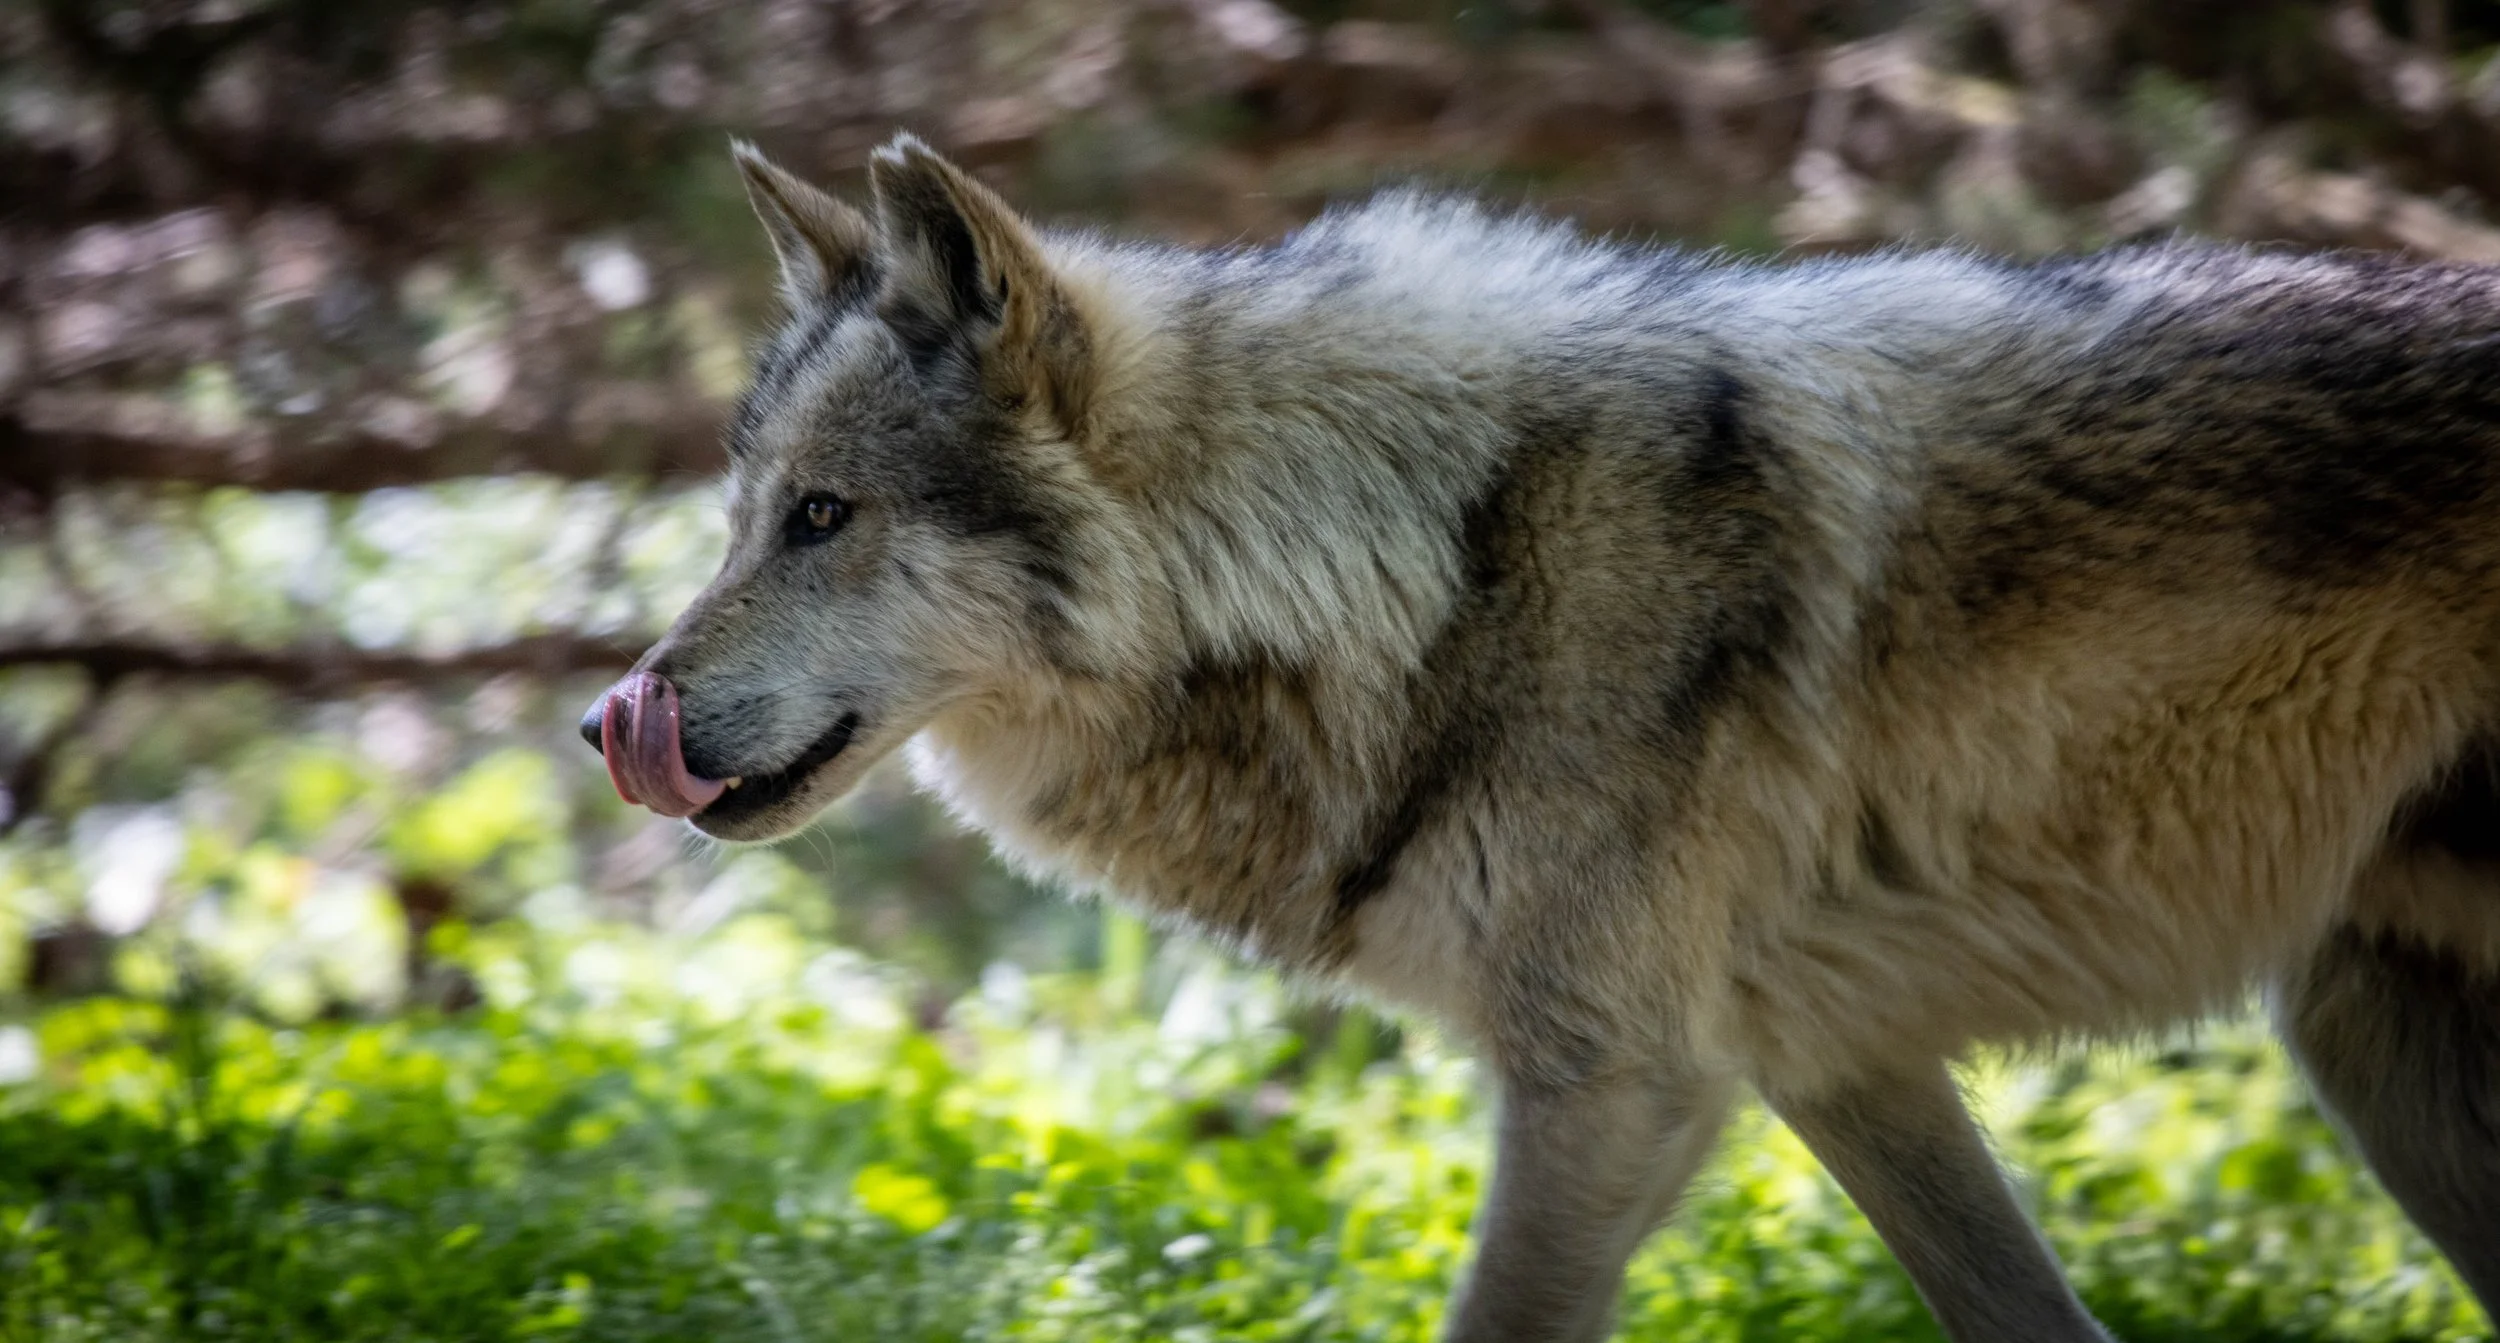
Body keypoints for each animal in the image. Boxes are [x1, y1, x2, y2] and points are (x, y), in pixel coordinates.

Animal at [580, 131, 2500, 1341]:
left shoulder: (1615, 1083)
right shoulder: (1837, 1063)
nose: (608, 720)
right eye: (743, 516)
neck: (1424, 560)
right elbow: (2032, 1311)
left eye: (822, 516)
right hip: (2369, 1030)